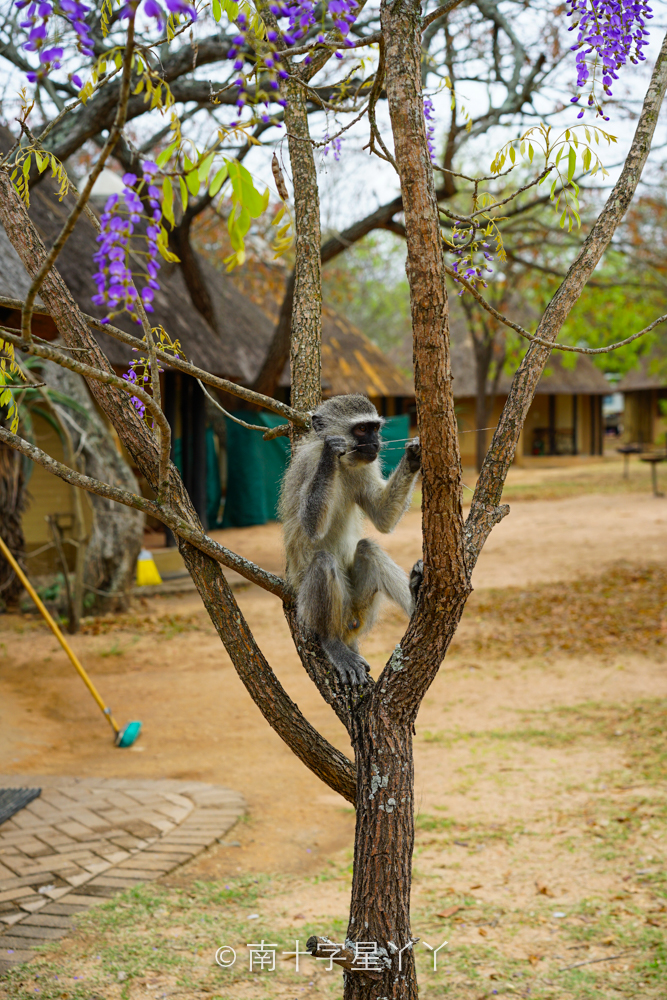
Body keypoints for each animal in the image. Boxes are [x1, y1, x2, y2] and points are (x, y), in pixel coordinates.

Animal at [282, 394, 422, 684]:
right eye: (361, 429)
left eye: (375, 428)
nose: (376, 443)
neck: (344, 465)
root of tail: (349, 625)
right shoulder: (307, 463)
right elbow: (310, 527)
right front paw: (329, 452)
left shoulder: (365, 465)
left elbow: (382, 518)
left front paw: (413, 455)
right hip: (312, 609)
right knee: (323, 561)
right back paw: (332, 643)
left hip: (361, 606)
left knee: (369, 548)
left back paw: (415, 597)